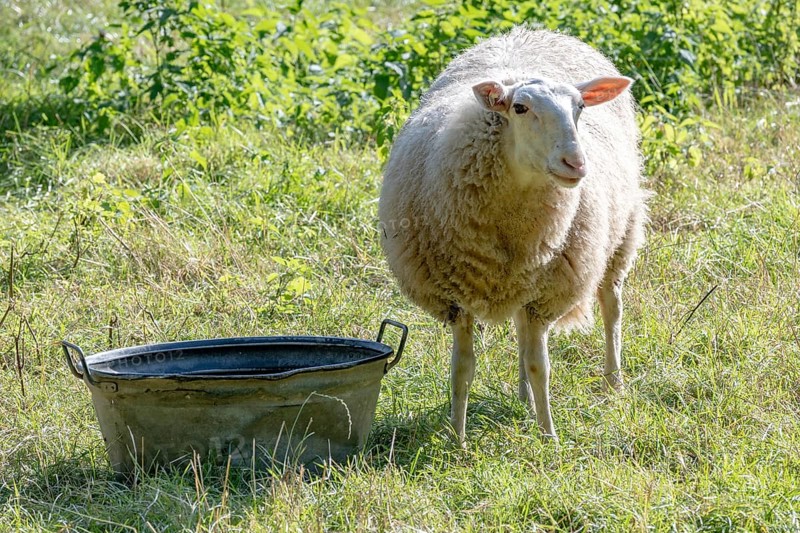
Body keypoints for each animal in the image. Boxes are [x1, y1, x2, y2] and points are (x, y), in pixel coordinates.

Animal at [378, 27, 648, 443]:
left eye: (579, 108)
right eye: (519, 108)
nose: (576, 163)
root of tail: (529, 32)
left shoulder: (546, 293)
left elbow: (541, 366)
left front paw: (549, 436)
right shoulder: (455, 299)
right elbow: (462, 368)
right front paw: (458, 439)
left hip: (620, 236)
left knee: (611, 307)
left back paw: (613, 383)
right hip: (526, 278)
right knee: (521, 331)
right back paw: (523, 398)